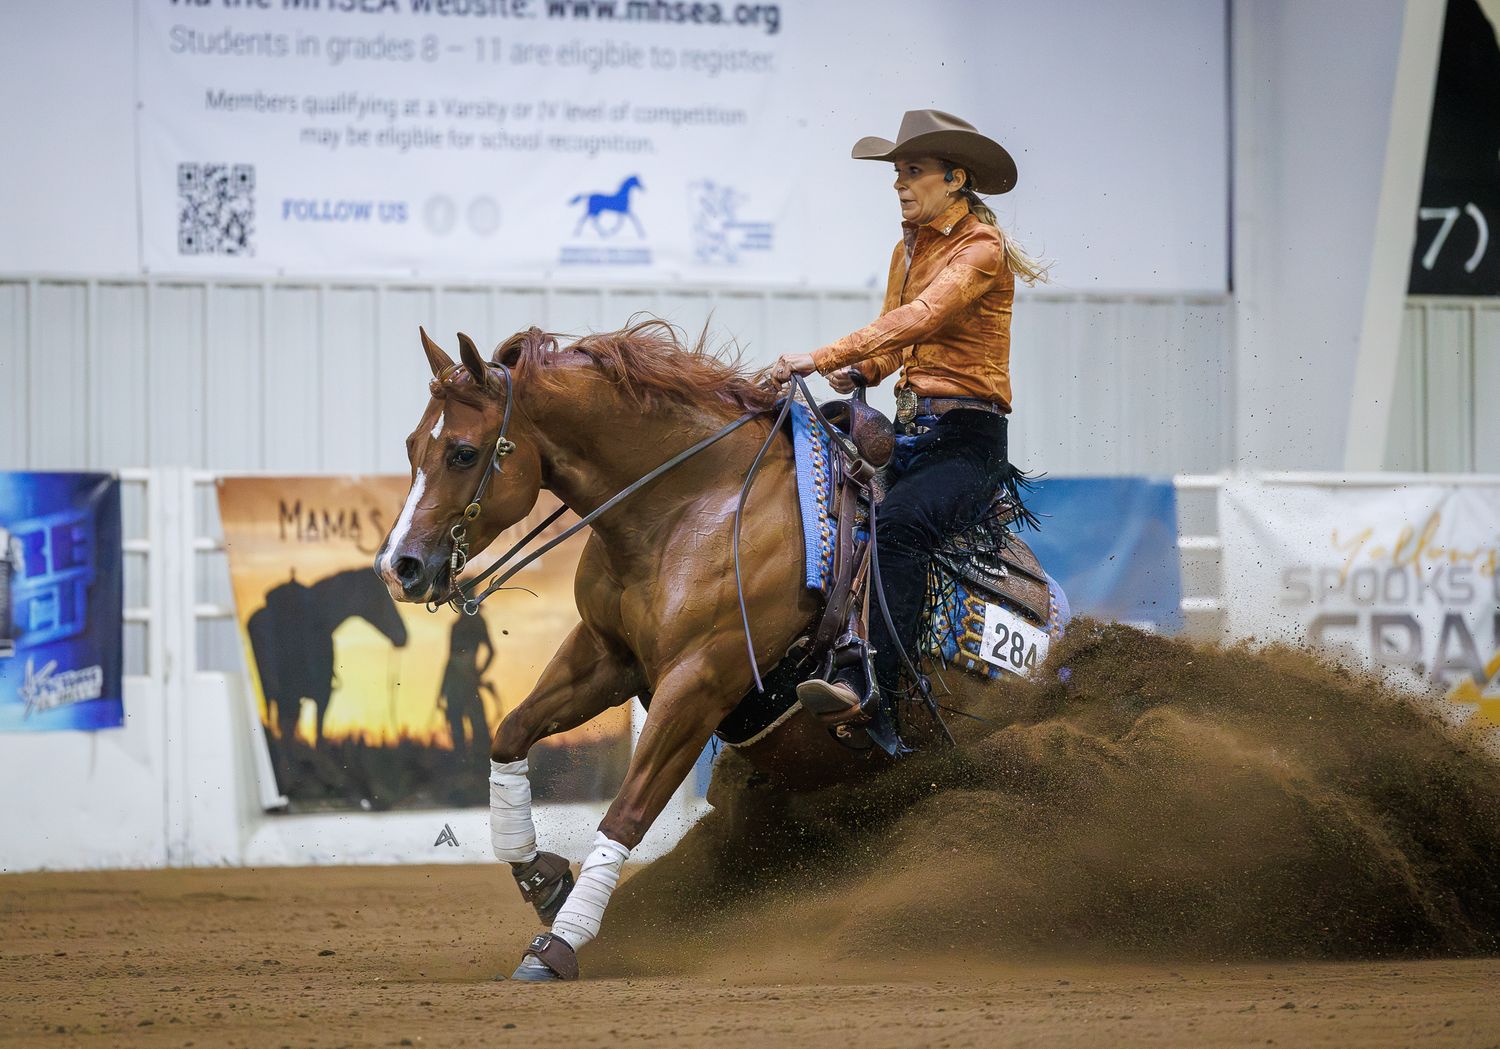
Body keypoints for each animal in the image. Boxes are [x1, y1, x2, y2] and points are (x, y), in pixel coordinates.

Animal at [374, 322, 1010, 982]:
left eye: (463, 452)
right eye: (413, 445)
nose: (398, 567)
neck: (694, 506)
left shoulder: (700, 684)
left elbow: (626, 812)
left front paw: (558, 945)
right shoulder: (607, 656)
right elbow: (510, 734)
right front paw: (541, 879)